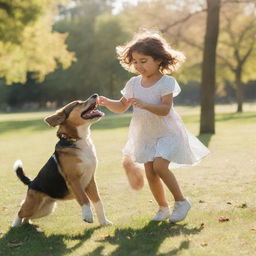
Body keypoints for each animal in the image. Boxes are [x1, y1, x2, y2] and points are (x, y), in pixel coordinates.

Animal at [12, 95, 112, 227]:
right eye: (77, 104)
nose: (95, 95)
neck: (77, 140)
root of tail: (31, 182)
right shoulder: (73, 180)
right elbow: (84, 199)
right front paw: (88, 216)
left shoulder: (90, 180)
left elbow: (98, 202)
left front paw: (104, 222)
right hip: (32, 205)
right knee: (20, 211)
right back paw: (15, 225)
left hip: (46, 209)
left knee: (26, 217)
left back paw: (29, 224)